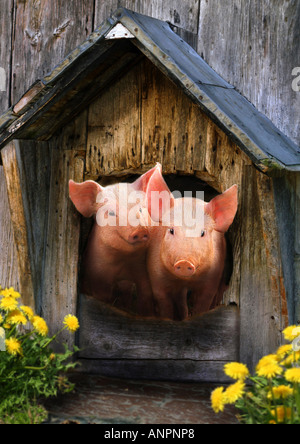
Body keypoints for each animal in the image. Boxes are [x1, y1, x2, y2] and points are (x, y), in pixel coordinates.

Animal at [68, 166, 162, 316]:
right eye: (111, 213)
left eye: (140, 209)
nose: (140, 230)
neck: (123, 260)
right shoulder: (98, 273)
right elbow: (103, 296)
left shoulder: (142, 271)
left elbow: (145, 295)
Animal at [146, 168, 239, 320]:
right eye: (171, 230)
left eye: (202, 233)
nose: (184, 262)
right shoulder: (157, 277)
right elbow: (165, 305)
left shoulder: (212, 276)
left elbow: (203, 302)